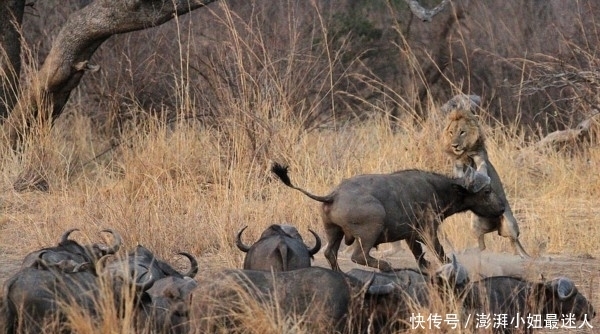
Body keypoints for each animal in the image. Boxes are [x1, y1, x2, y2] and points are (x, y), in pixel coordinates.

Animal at [270, 162, 504, 272]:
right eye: (487, 191)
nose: (502, 209)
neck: (437, 189)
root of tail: (333, 195)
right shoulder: (429, 230)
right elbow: (439, 252)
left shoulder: (411, 236)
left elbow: (418, 254)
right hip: (371, 229)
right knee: (359, 256)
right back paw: (385, 266)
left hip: (333, 232)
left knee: (330, 253)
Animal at [440, 107, 528, 258]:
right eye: (451, 132)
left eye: (462, 132)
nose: (454, 145)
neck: (465, 153)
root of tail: (495, 227)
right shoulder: (458, 166)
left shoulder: (481, 160)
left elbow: (481, 172)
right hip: (475, 223)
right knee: (482, 245)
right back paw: (467, 251)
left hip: (510, 224)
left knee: (514, 241)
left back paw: (521, 256)